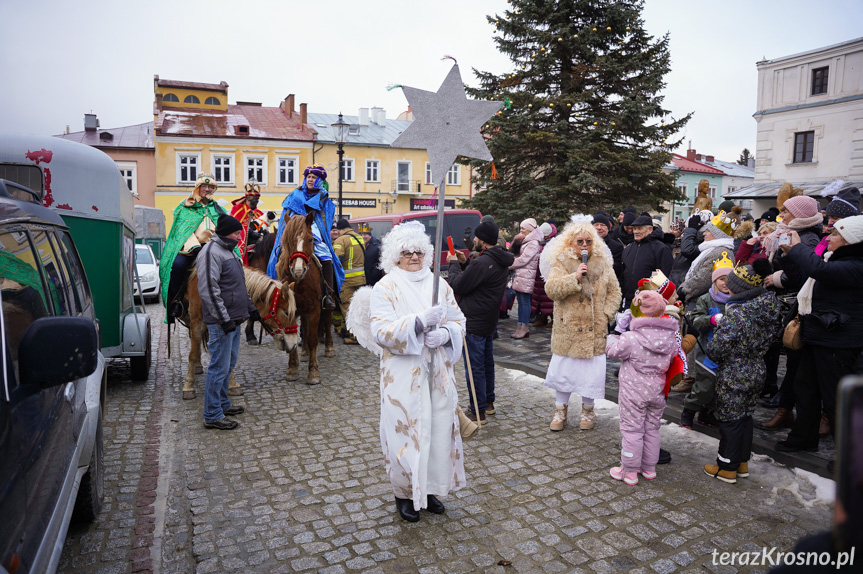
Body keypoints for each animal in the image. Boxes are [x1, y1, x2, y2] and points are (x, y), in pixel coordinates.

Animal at [179, 266, 296, 400]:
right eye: (286, 313)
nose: (294, 344)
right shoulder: (196, 323)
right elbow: (193, 354)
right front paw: (188, 386)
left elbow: (228, 356)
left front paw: (232, 385)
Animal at [276, 213, 334, 388]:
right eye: (288, 240)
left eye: (310, 239)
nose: (298, 270)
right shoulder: (290, 310)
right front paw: (292, 369)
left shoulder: (315, 309)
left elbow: (313, 338)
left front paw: (313, 372)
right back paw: (304, 352)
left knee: (327, 320)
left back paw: (329, 348)